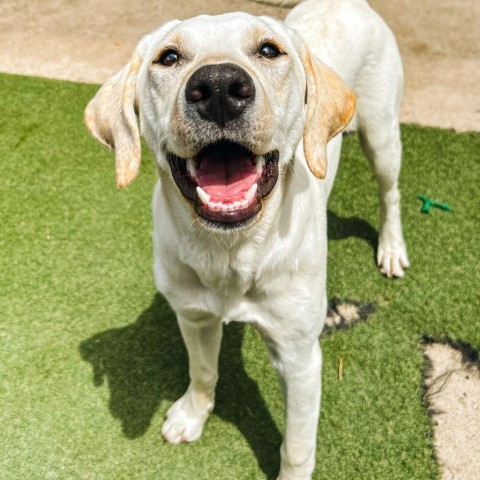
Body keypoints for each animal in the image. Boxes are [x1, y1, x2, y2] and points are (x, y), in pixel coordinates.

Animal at [84, 1, 406, 478]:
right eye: (168, 57)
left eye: (269, 50)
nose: (218, 86)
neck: (229, 252)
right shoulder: (194, 316)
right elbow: (202, 372)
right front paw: (192, 415)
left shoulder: (300, 356)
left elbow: (297, 445)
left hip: (381, 134)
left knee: (390, 192)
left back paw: (391, 248)